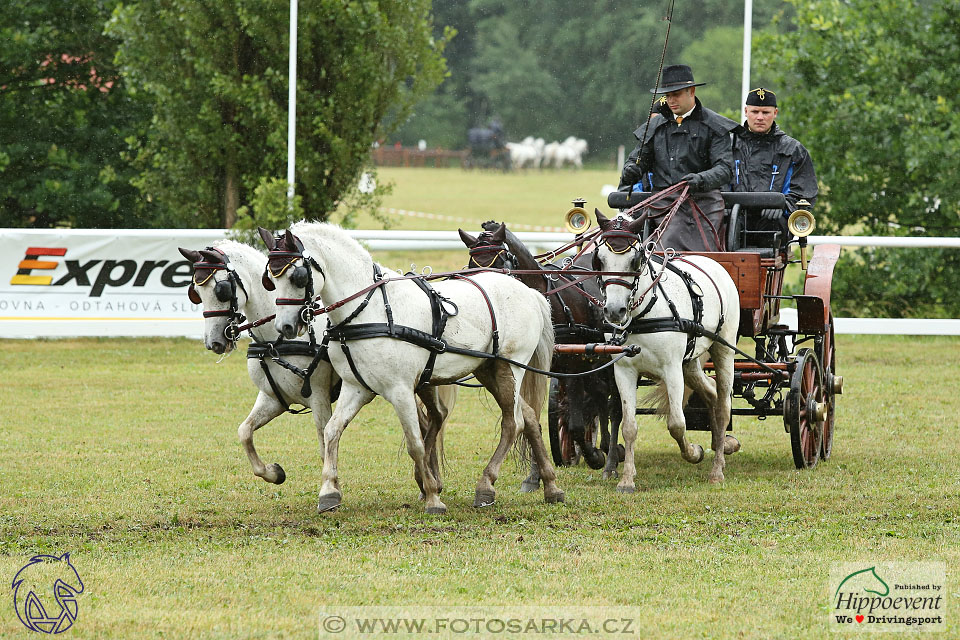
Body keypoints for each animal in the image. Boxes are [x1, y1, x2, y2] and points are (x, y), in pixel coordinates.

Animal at [262, 222, 564, 512]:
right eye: (270, 279)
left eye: (298, 277)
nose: (284, 326)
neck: (370, 309)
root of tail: (528, 292)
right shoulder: (356, 387)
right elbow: (331, 432)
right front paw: (329, 492)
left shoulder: (401, 390)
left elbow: (415, 444)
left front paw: (432, 497)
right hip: (487, 369)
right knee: (528, 417)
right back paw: (551, 486)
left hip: (509, 369)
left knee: (513, 422)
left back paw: (486, 485)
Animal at [592, 210, 744, 484]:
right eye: (599, 259)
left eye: (635, 260)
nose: (615, 311)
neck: (643, 314)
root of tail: (713, 262)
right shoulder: (624, 371)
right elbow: (628, 425)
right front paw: (627, 479)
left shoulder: (672, 370)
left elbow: (676, 424)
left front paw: (694, 452)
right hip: (690, 362)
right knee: (712, 394)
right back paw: (721, 445)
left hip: (723, 350)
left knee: (723, 407)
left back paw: (717, 469)